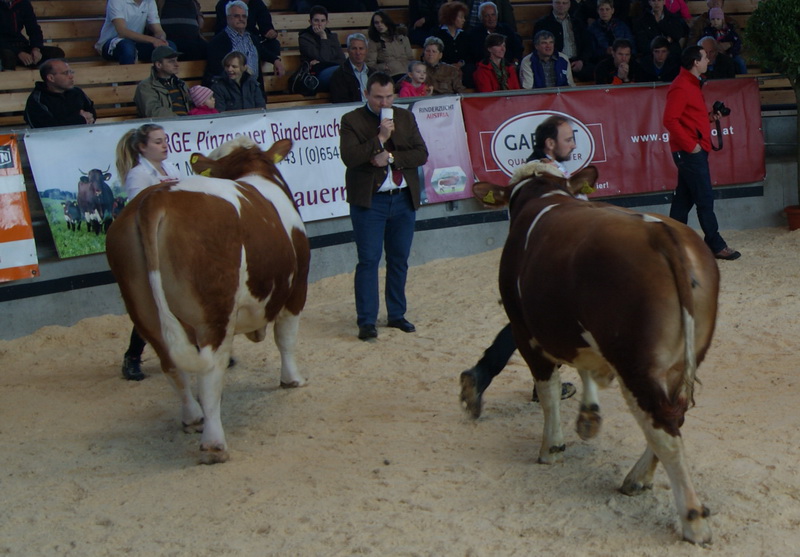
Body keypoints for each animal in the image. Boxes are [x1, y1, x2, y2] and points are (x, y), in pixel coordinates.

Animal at [104, 138, 308, 464]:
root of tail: (156, 199)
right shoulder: (297, 286)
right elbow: (286, 338)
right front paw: (292, 380)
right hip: (215, 310)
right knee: (211, 373)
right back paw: (214, 444)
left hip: (143, 309)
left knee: (172, 365)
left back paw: (192, 417)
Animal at [468, 161, 720, 544]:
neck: (543, 194)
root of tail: (659, 232)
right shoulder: (579, 332)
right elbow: (585, 368)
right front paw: (588, 415)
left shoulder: (525, 331)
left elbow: (548, 392)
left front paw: (552, 447)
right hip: (681, 361)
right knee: (674, 416)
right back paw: (637, 478)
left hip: (636, 365)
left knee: (664, 430)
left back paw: (693, 519)